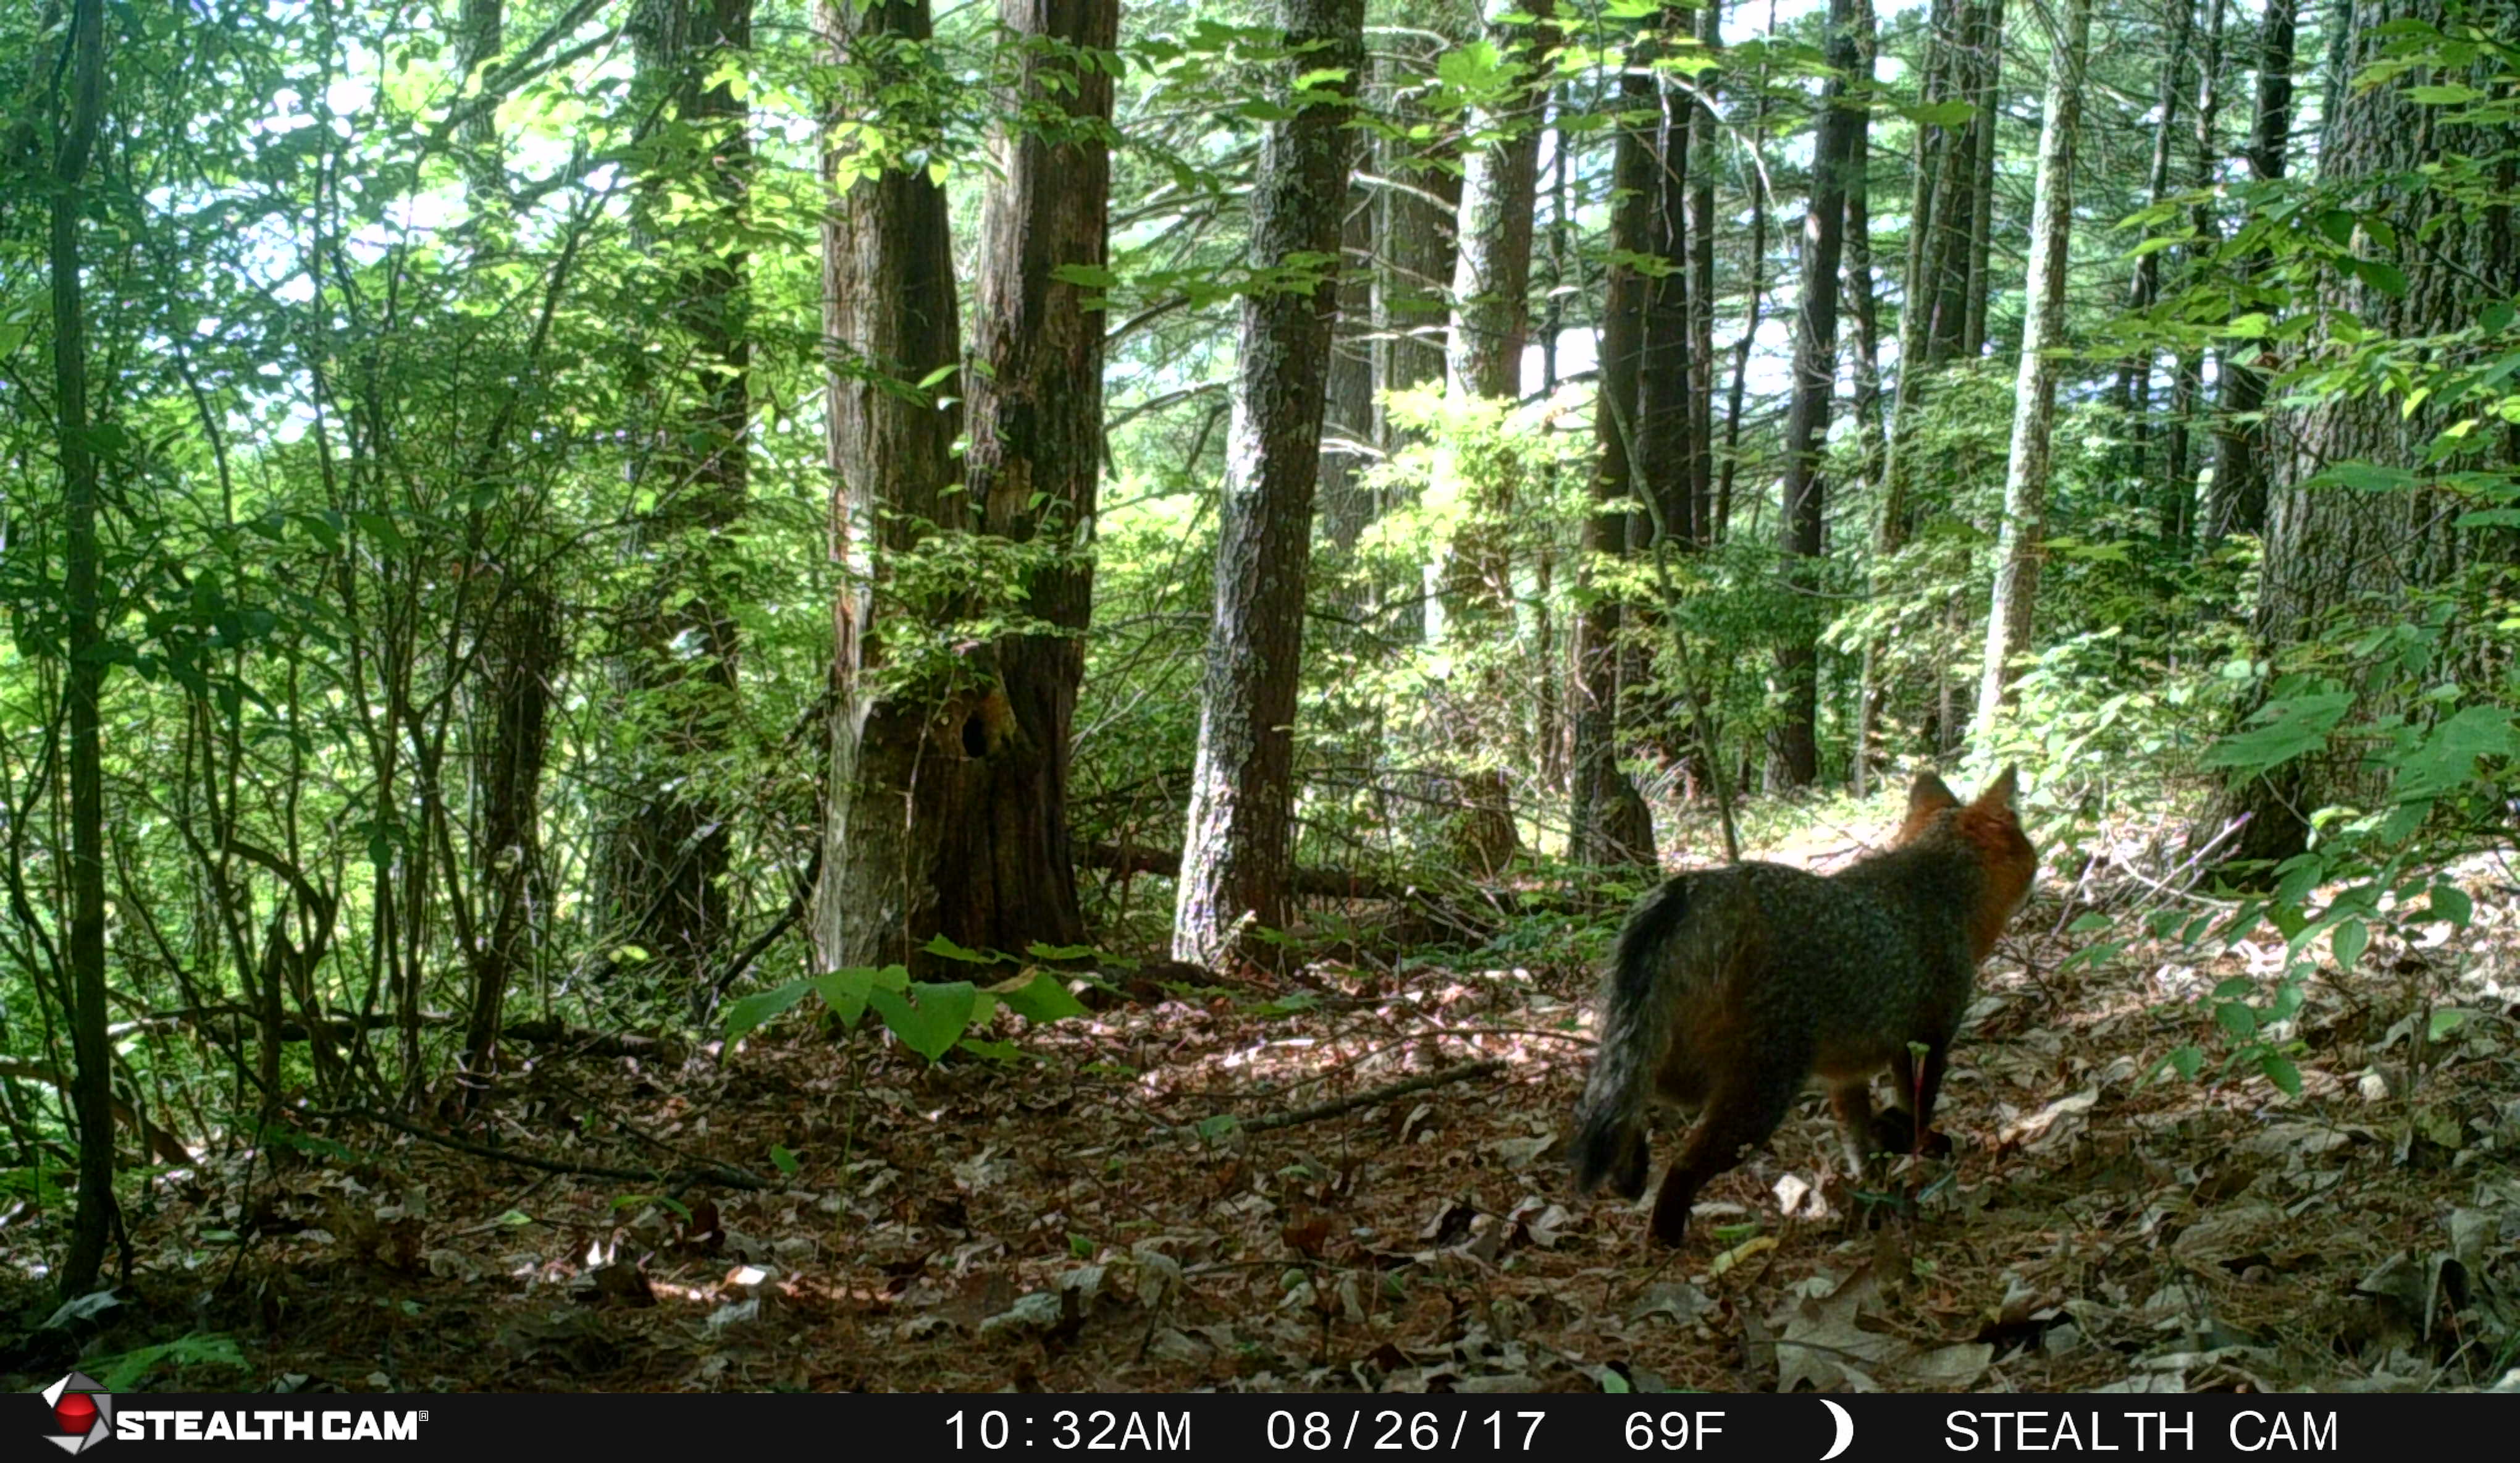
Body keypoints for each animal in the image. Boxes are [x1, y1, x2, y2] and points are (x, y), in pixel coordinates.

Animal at [1570, 769, 2037, 1248]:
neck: (1941, 888)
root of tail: (1698, 888)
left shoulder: (1846, 1074)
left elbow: (1860, 1146)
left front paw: (1874, 1193)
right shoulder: (1926, 1042)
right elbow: (1916, 1113)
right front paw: (1909, 1143)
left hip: (1685, 1070)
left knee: (1625, 1099)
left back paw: (1630, 1171)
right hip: (1761, 1095)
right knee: (1681, 1165)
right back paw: (1664, 1240)